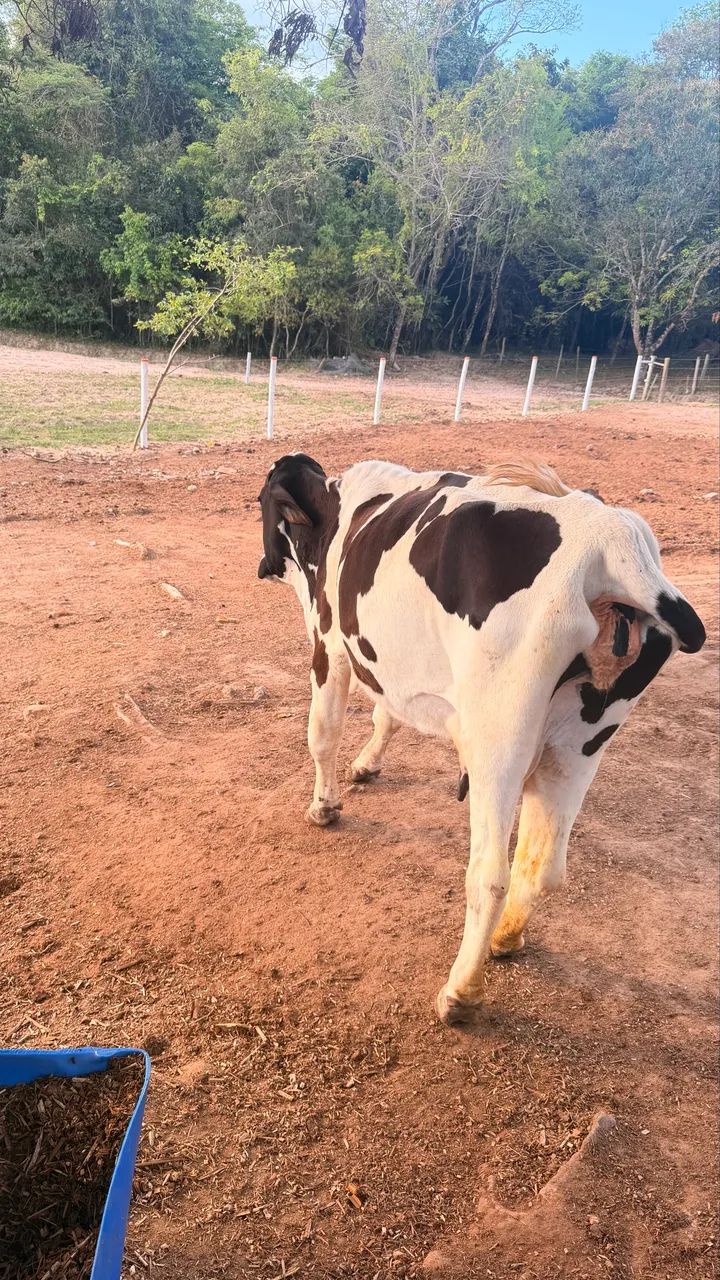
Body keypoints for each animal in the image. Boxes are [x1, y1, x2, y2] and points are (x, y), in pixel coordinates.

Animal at [257, 453, 705, 1027]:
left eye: (263, 505)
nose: (264, 564)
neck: (340, 512)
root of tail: (615, 540)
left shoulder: (330, 644)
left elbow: (323, 733)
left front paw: (324, 806)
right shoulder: (388, 663)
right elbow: (387, 714)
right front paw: (367, 764)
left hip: (499, 743)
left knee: (490, 872)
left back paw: (460, 992)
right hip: (578, 747)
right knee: (544, 863)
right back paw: (505, 940)